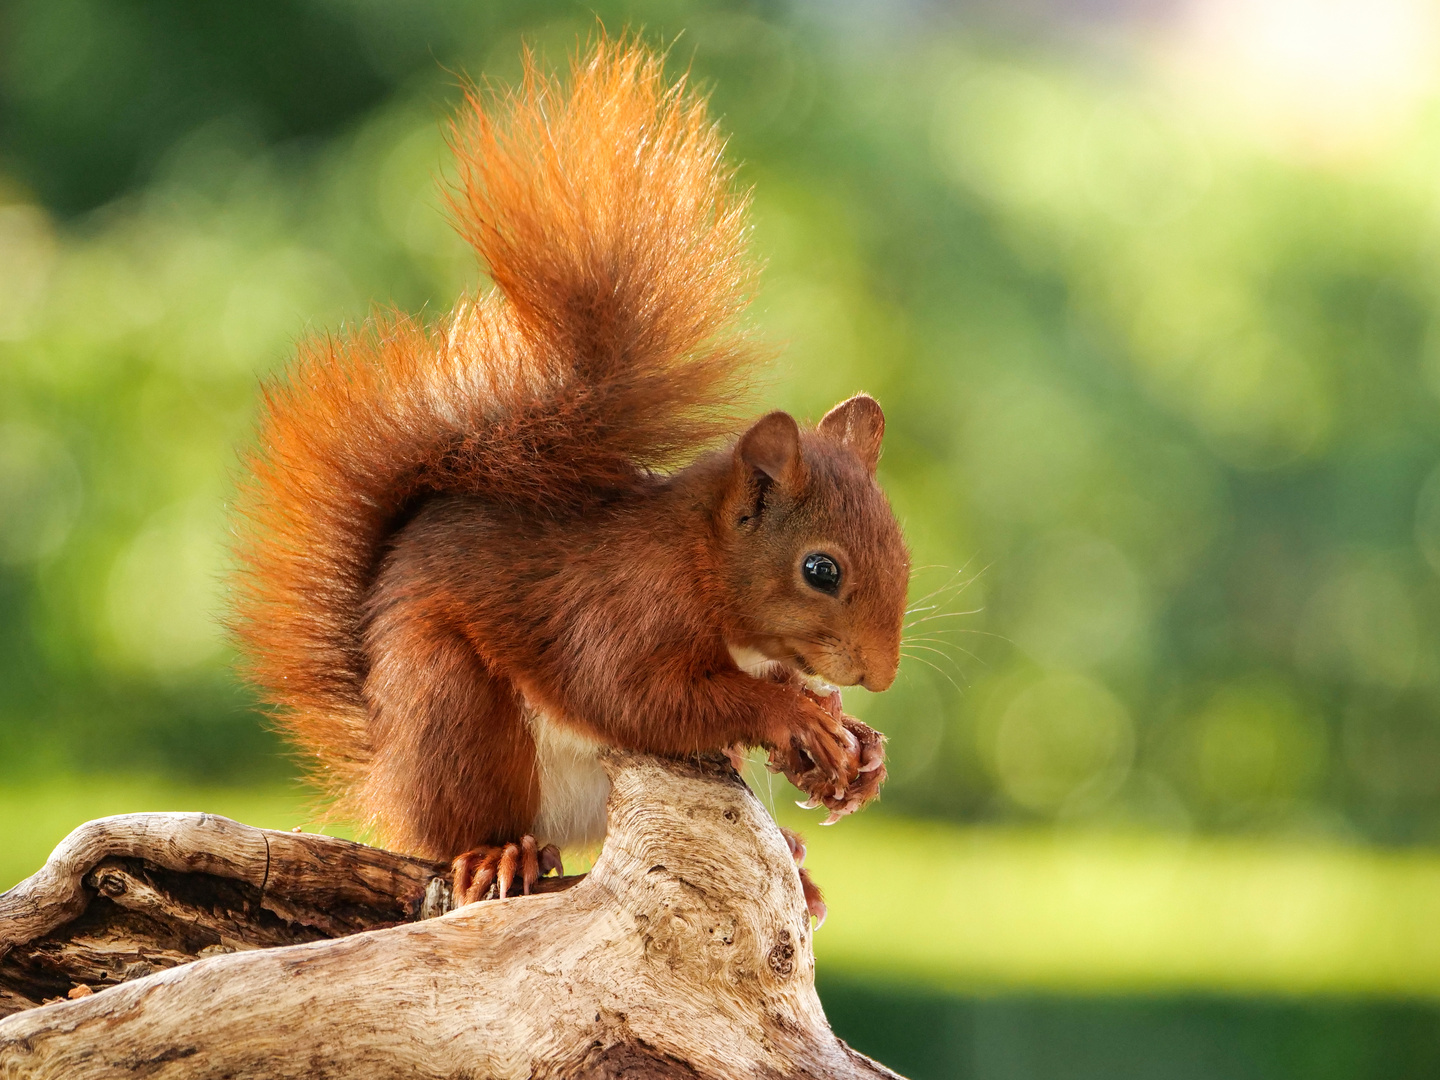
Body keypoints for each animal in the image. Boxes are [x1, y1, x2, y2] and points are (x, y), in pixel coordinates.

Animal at [234, 38, 910, 915]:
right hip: (452, 709)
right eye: (820, 570)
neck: (702, 563)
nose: (881, 675)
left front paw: (857, 745)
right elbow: (637, 696)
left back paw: (795, 860)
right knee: (461, 825)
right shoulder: (623, 609)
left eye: (901, 548)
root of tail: (386, 771)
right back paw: (499, 853)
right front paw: (794, 715)